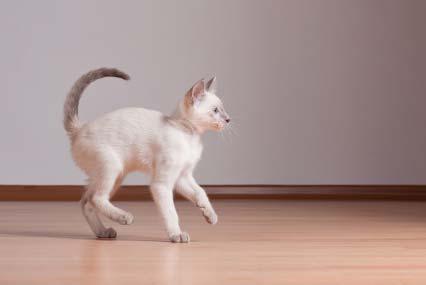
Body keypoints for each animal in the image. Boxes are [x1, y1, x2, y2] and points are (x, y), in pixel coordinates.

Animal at [62, 67, 230, 242]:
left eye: (223, 109)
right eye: (215, 110)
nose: (228, 119)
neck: (191, 136)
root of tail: (80, 128)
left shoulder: (182, 176)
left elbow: (201, 192)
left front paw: (209, 215)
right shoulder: (162, 184)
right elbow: (171, 213)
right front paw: (176, 234)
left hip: (115, 176)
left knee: (87, 202)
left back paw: (103, 232)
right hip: (112, 168)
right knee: (97, 198)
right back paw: (124, 217)